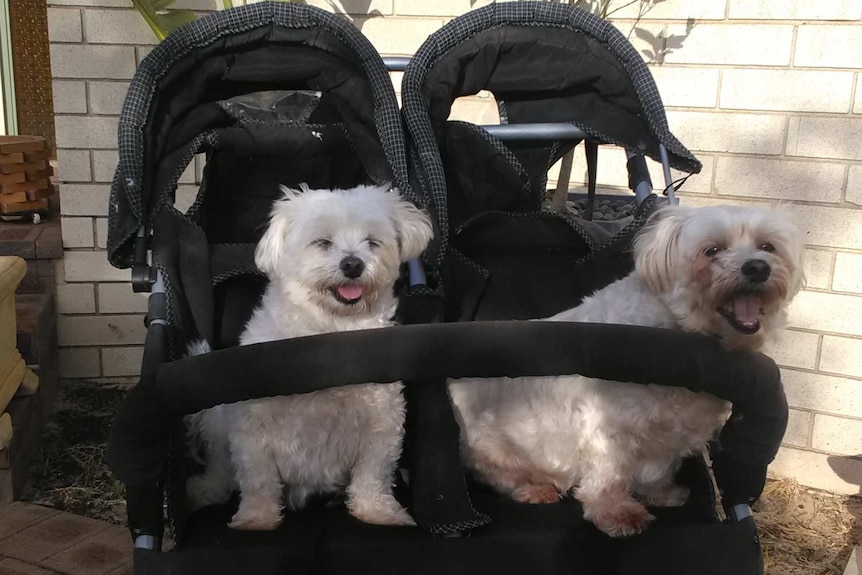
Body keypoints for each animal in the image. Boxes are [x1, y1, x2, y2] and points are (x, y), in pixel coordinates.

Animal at [186, 183, 436, 532]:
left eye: (372, 242)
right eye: (323, 242)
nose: (352, 264)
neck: (329, 333)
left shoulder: (382, 424)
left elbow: (373, 476)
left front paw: (378, 514)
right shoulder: (253, 429)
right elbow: (258, 480)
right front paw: (256, 520)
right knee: (221, 472)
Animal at [448, 205, 808, 536]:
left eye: (767, 247)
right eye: (713, 250)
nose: (758, 267)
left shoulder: (668, 437)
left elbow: (659, 470)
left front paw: (662, 494)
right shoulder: (606, 429)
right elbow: (608, 476)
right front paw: (617, 514)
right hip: (490, 449)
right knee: (500, 476)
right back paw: (535, 489)